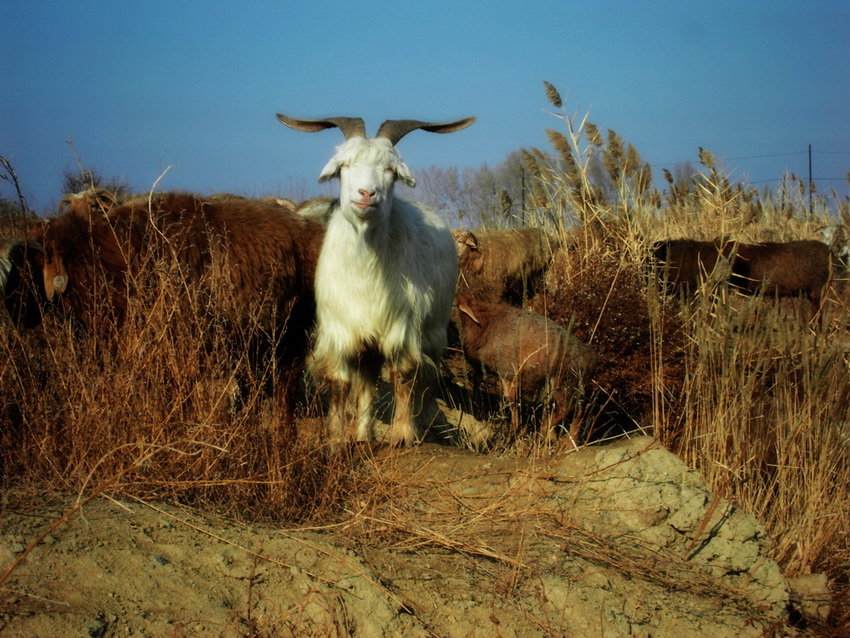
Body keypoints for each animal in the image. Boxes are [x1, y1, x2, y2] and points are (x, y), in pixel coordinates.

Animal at [0, 194, 324, 436]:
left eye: (29, 266)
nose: (11, 309)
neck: (104, 260)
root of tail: (309, 232)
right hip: (254, 349)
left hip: (289, 342)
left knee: (285, 395)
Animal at [280, 115, 474, 448]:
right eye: (343, 166)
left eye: (390, 170)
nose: (365, 194)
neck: (367, 271)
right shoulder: (341, 328)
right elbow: (340, 381)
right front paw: (336, 441)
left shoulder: (404, 326)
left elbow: (403, 375)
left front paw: (402, 435)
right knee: (368, 380)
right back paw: (362, 434)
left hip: (434, 330)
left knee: (426, 380)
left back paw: (421, 423)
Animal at [450, 298, 596, 442]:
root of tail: (591, 360)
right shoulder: (480, 368)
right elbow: (476, 387)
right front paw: (476, 410)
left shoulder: (509, 373)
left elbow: (513, 402)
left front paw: (516, 431)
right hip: (569, 384)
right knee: (578, 408)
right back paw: (569, 440)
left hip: (564, 381)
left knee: (569, 407)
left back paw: (545, 431)